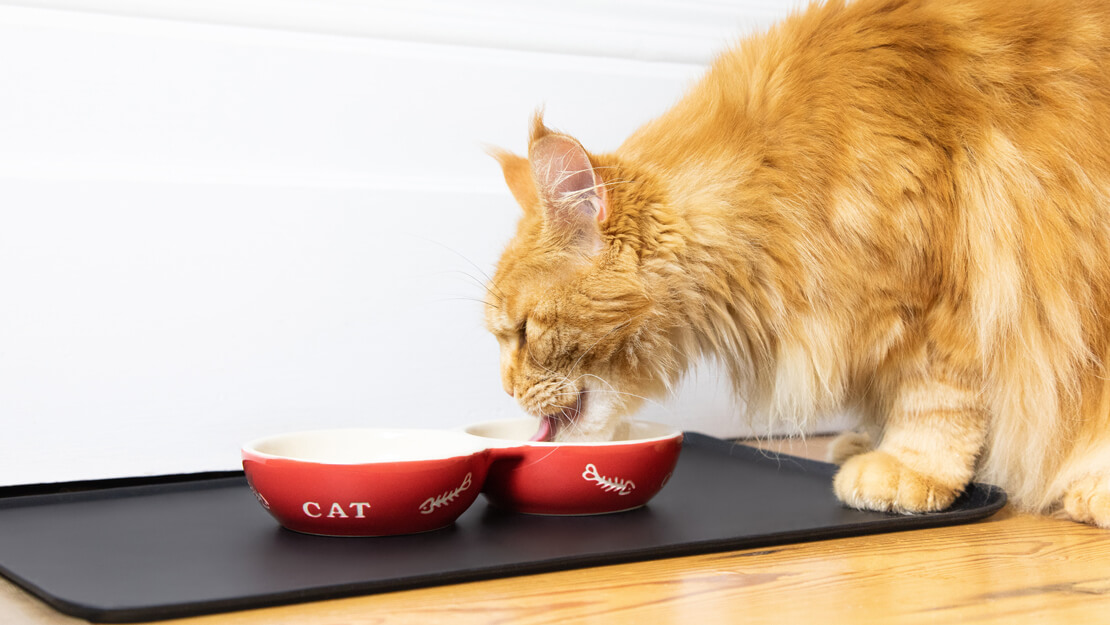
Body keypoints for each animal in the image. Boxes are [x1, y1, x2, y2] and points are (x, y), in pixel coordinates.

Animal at [486, 0, 1110, 528]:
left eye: (523, 332)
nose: (508, 389)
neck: (775, 177)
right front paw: (869, 441)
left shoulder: (944, 297)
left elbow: (936, 401)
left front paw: (908, 467)